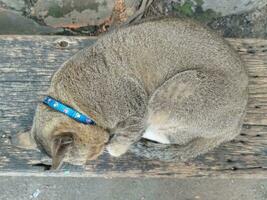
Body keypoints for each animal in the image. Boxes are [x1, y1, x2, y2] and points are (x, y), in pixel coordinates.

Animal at [17, 18, 249, 170]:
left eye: (95, 153)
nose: (101, 148)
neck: (71, 103)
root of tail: (235, 126)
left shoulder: (137, 106)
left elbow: (124, 139)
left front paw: (115, 144)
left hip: (173, 92)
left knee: (165, 134)